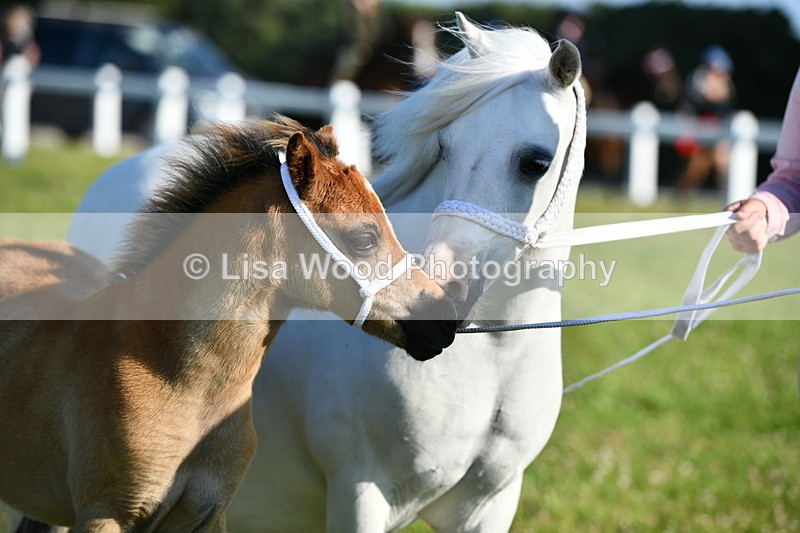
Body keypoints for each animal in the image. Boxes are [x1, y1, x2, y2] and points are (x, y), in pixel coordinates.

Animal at [50, 13, 585, 532]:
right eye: (446, 148)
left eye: (535, 161)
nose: (444, 291)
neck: (491, 359)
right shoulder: (360, 492)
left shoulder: (490, 505)